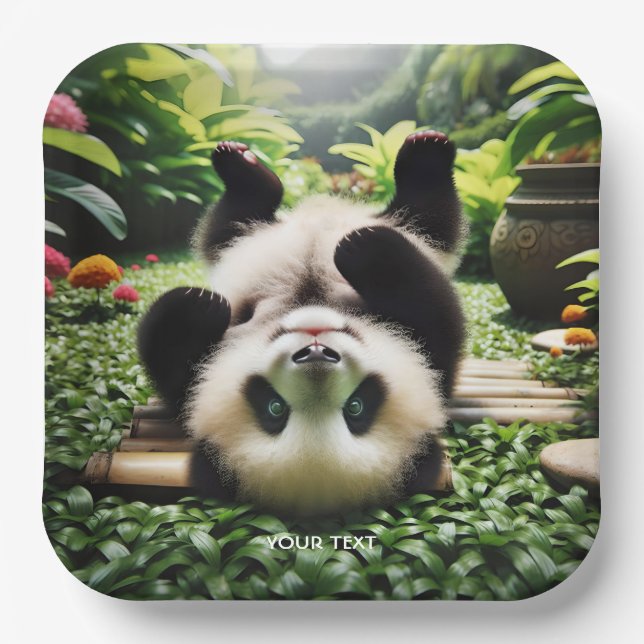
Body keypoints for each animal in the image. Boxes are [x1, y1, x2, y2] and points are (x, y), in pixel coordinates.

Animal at [138, 130, 466, 516]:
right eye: (274, 407)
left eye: (357, 406)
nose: (316, 350)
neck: (310, 302)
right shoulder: (194, 380)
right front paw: (198, 308)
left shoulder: (432, 361)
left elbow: (439, 314)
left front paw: (369, 251)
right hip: (244, 235)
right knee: (232, 221)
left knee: (425, 215)